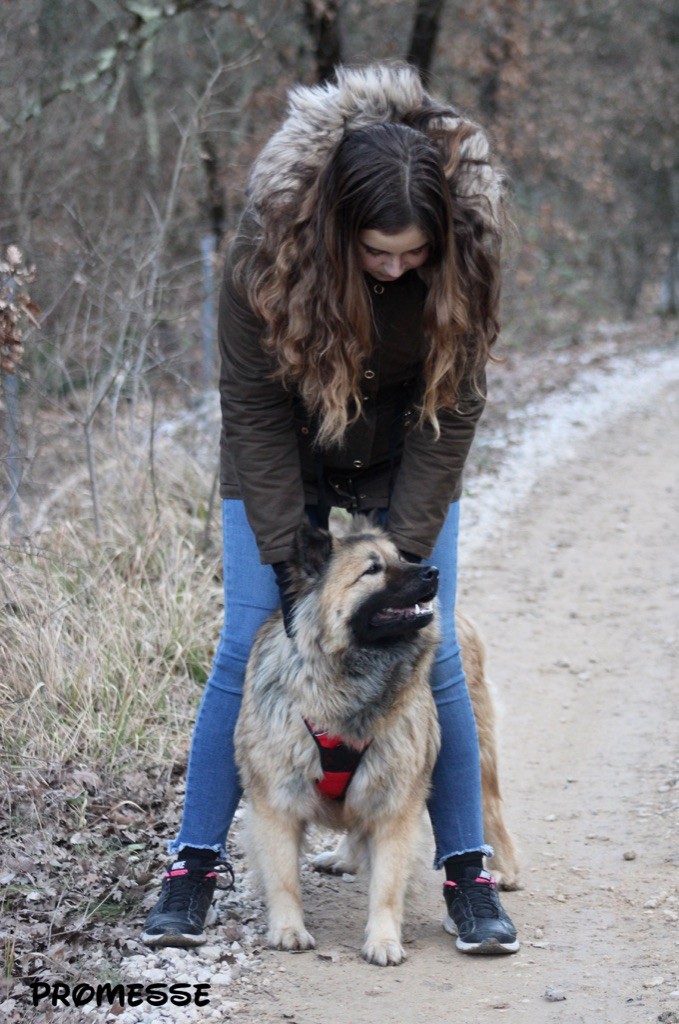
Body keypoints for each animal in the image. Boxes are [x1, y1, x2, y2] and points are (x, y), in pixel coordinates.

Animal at [233, 520, 520, 966]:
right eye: (372, 570)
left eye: (401, 558)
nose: (433, 572)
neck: (350, 682)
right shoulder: (276, 800)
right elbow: (283, 879)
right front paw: (288, 930)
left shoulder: (395, 803)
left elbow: (386, 885)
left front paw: (383, 941)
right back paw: (343, 857)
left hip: (478, 752)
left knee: (490, 810)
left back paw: (502, 870)